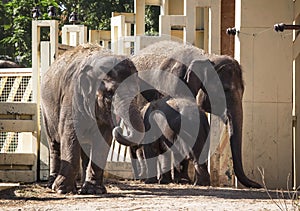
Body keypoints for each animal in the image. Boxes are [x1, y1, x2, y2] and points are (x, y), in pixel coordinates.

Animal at [41, 44, 145, 195]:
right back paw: (52, 184)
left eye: (136, 93)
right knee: (54, 144)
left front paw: (94, 190)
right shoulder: (72, 96)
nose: (118, 128)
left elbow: (103, 139)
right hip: (46, 112)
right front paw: (62, 189)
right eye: (110, 93)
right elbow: (69, 135)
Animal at [127, 40, 262, 188]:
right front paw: (181, 180)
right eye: (225, 90)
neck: (207, 57)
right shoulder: (171, 83)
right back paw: (144, 178)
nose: (259, 185)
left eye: (243, 90)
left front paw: (183, 180)